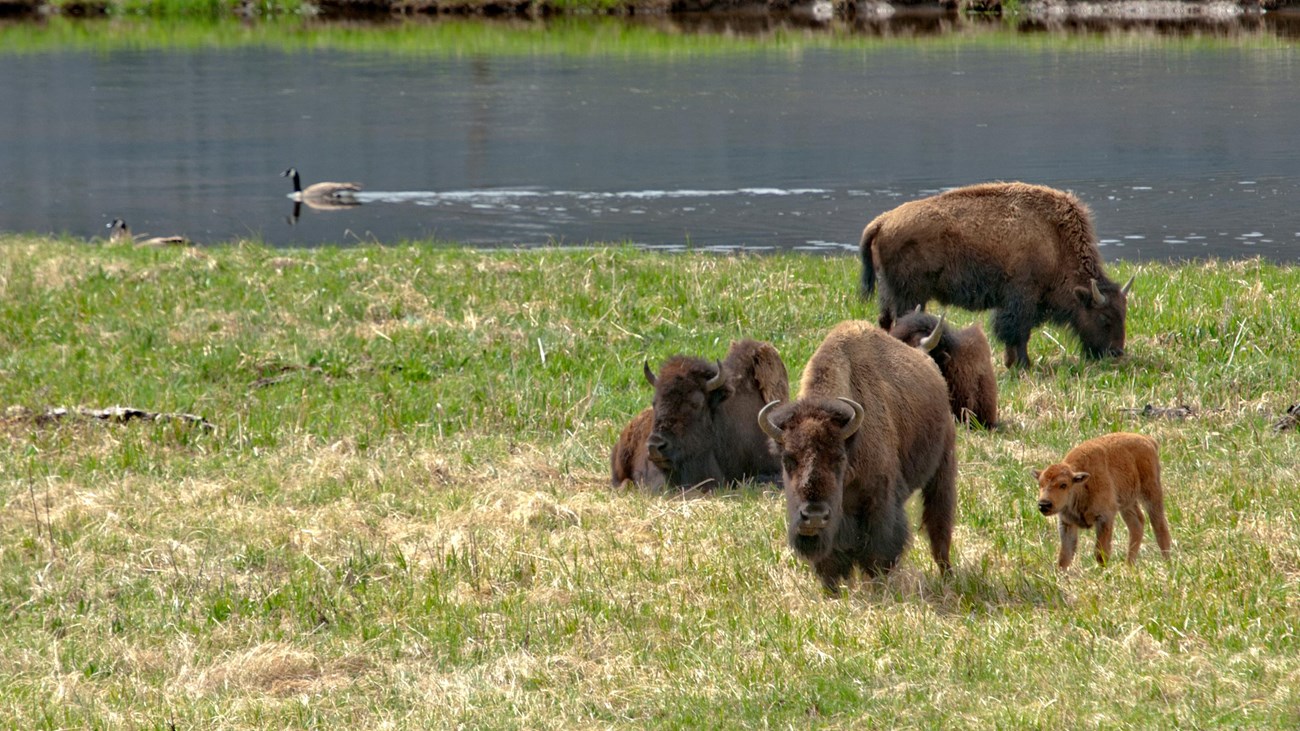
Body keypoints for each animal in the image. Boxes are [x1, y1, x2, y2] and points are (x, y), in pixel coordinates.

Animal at [759, 319, 961, 593]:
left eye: (838, 458)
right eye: (788, 459)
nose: (813, 516)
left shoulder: (879, 501)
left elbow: (877, 550)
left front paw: (877, 585)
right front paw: (832, 590)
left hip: (942, 469)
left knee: (939, 525)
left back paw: (947, 577)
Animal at [863, 179, 1138, 366]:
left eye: (1124, 314)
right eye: (1104, 318)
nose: (1116, 353)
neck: (1054, 239)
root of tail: (883, 221)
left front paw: (1012, 363)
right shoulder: (1022, 297)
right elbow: (1018, 332)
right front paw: (1022, 365)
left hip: (889, 294)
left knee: (885, 322)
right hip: (910, 296)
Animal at [1029, 431, 1175, 569]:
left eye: (1063, 484)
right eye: (1040, 484)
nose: (1044, 504)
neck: (1081, 485)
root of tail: (1148, 440)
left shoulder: (1105, 518)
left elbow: (1101, 553)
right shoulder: (1067, 523)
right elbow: (1064, 557)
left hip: (1151, 492)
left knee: (1159, 526)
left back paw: (1168, 564)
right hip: (1126, 503)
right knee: (1137, 524)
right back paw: (1129, 566)